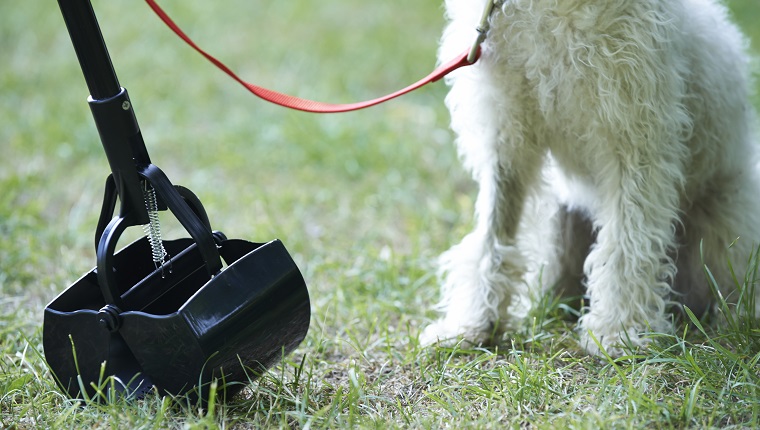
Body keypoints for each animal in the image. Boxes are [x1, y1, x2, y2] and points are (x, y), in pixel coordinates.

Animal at [422, 0, 760, 356]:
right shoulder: (506, 137)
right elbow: (493, 235)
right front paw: (472, 322)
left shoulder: (634, 139)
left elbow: (627, 243)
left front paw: (619, 331)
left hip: (727, 227)